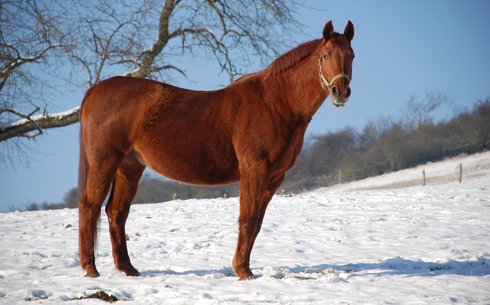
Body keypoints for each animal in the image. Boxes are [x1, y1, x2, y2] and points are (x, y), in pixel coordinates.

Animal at [78, 20, 354, 280]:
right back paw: (91, 269)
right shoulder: (254, 171)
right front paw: (243, 272)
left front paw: (245, 269)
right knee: (90, 206)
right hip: (105, 162)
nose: (341, 92)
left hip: (129, 168)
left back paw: (128, 269)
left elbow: (257, 224)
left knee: (116, 212)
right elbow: (247, 219)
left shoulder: (274, 178)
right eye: (325, 56)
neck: (275, 103)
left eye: (351, 55)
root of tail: (95, 91)